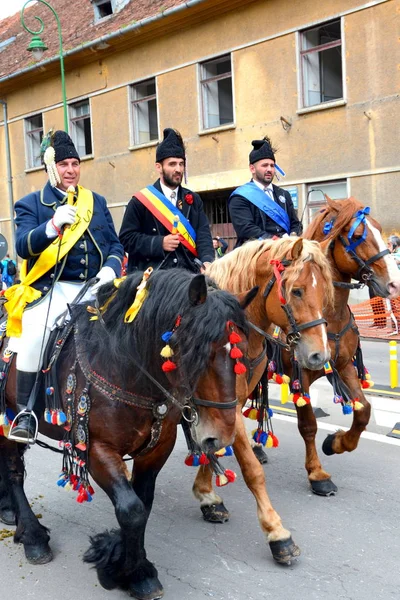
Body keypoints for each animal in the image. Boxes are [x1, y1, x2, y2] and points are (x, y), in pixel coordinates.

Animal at [191, 237, 334, 564]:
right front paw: (276, 532)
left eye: (325, 291)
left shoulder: (226, 407)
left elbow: (212, 443)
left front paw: (207, 496)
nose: (319, 356)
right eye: (296, 290)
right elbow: (252, 470)